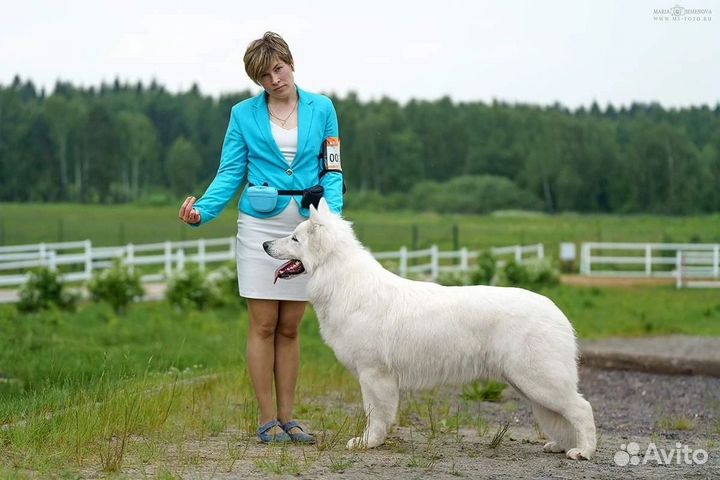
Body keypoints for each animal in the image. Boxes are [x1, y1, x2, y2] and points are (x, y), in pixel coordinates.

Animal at [264, 199, 596, 462]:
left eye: (294, 238)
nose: (265, 245)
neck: (343, 280)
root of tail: (557, 312)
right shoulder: (373, 376)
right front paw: (373, 442)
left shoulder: (373, 374)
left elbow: (376, 414)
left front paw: (368, 442)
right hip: (529, 383)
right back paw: (560, 445)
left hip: (538, 380)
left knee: (582, 407)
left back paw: (583, 451)